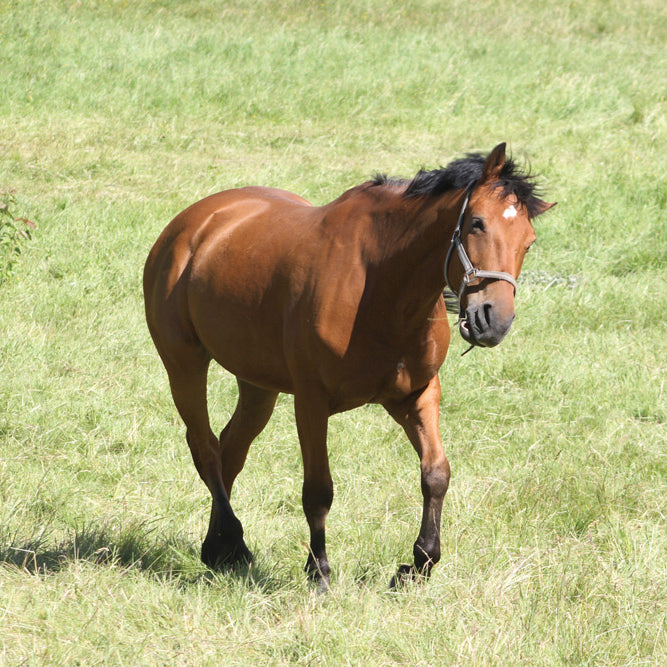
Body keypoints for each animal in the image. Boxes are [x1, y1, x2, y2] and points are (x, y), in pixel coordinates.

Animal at [144, 144, 556, 588]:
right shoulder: (310, 402)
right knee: (204, 447)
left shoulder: (416, 395)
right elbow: (318, 489)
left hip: (258, 383)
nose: (493, 320)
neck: (379, 285)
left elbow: (436, 474)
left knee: (230, 449)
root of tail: (191, 223)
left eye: (529, 241)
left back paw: (217, 547)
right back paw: (233, 541)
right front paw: (319, 572)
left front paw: (418, 564)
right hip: (184, 363)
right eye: (477, 223)